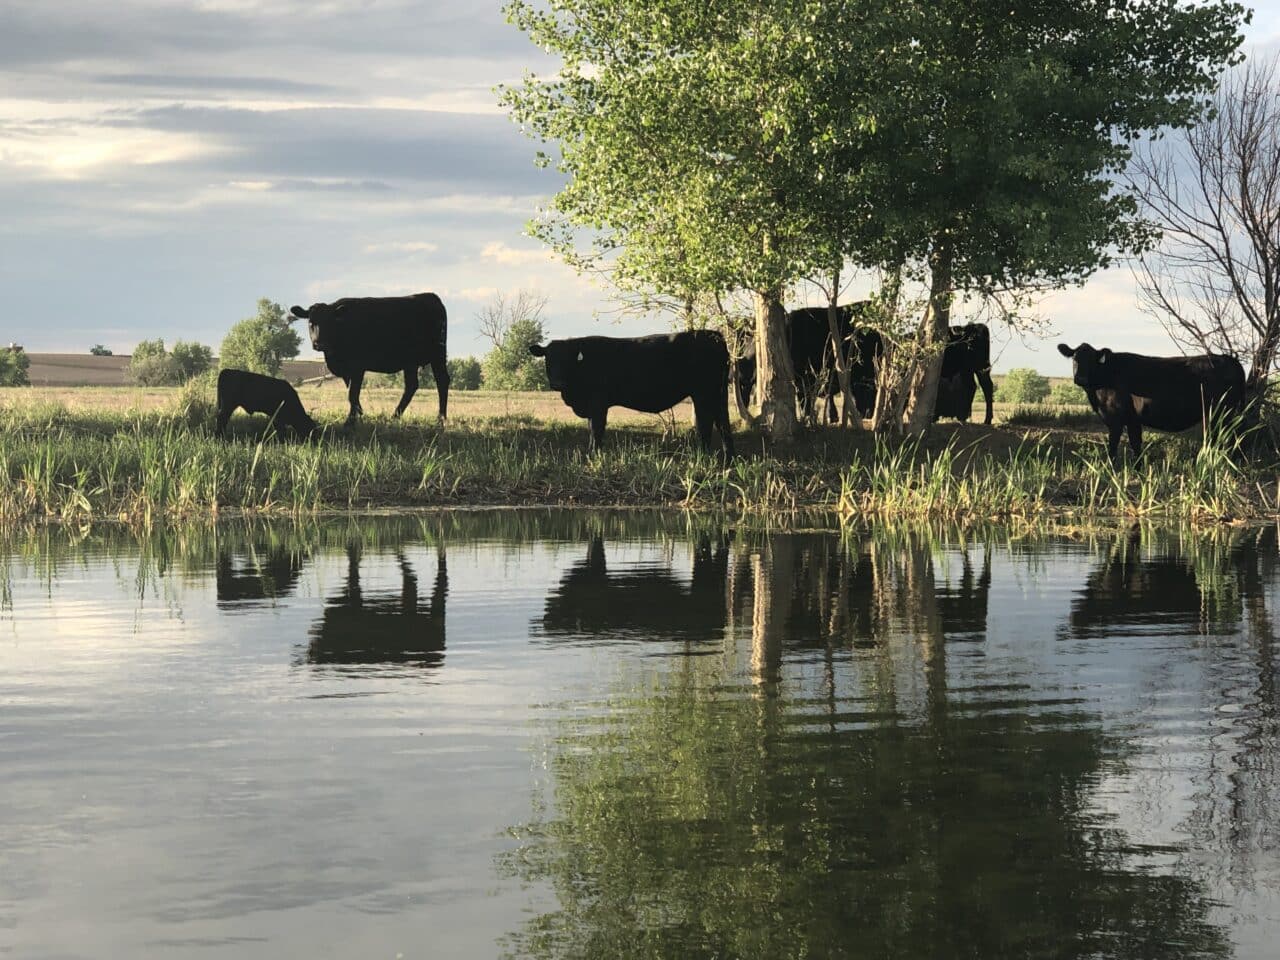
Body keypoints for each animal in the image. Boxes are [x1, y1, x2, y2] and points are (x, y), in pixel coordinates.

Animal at [290, 291, 450, 422]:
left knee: (442, 381)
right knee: (412, 385)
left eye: (330, 323)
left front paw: (350, 420)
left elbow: (353, 394)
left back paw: (440, 418)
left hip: (438, 354)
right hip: (410, 362)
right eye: (311, 323)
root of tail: (431, 297)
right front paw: (360, 414)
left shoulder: (357, 366)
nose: (319, 343)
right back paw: (395, 416)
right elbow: (352, 394)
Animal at [527, 330, 732, 455]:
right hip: (718, 393)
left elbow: (596, 430)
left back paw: (703, 455)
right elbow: (592, 429)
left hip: (704, 393)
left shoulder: (598, 404)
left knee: (705, 423)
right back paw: (728, 457)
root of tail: (712, 335)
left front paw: (594, 454)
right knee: (722, 423)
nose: (557, 383)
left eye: (567, 360)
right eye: (549, 358)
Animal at [1054, 343, 1244, 463]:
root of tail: (1229, 359)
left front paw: (1110, 469)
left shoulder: (1116, 418)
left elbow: (1113, 446)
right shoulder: (1133, 420)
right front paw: (1138, 469)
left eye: (1092, 360)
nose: (1080, 378)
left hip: (1220, 412)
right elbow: (1136, 445)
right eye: (1075, 359)